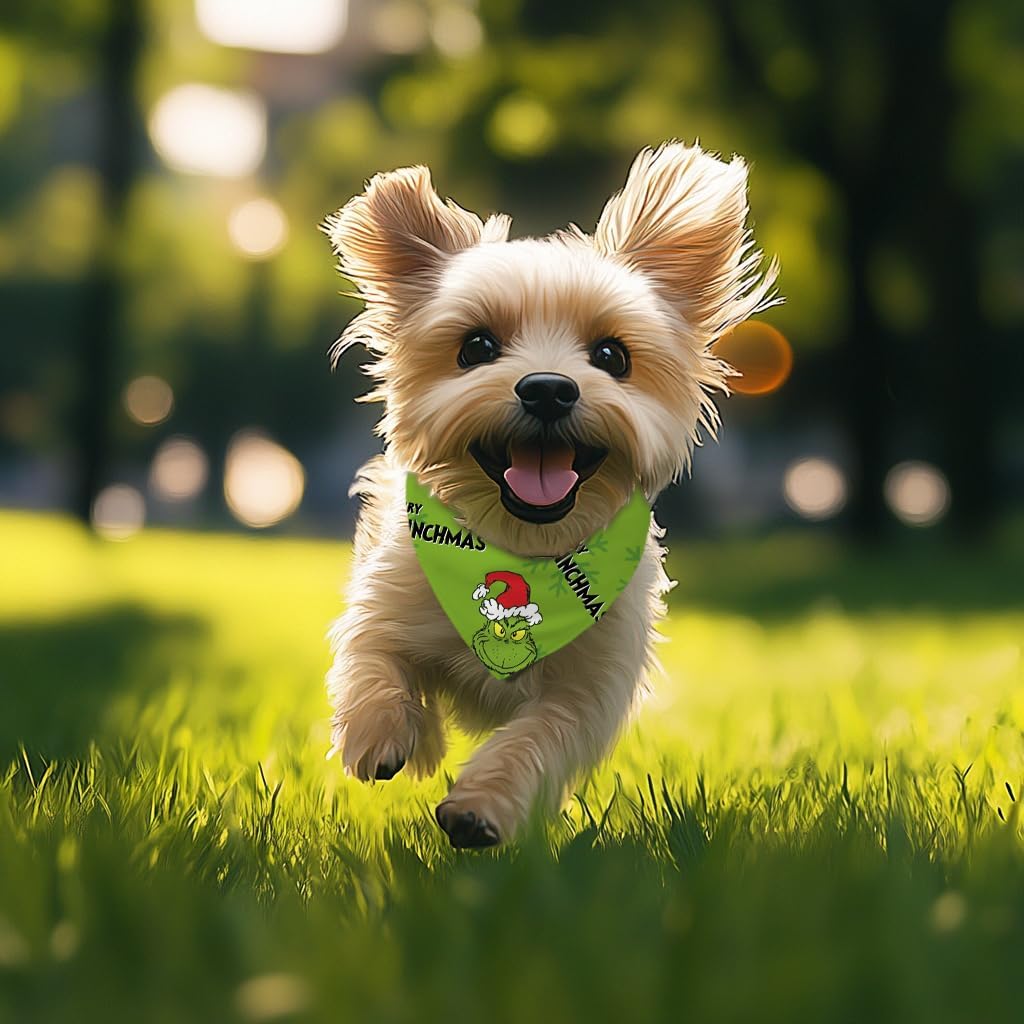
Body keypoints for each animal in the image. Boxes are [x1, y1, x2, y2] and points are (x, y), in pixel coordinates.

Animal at [323, 142, 778, 847]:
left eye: (612, 355)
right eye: (476, 346)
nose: (547, 388)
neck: (523, 550)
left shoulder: (590, 689)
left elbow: (537, 739)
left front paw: (480, 807)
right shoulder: (388, 600)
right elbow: (374, 662)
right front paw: (382, 731)